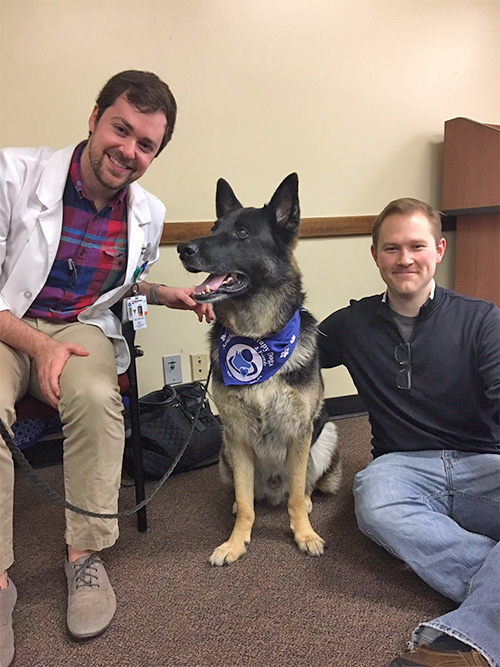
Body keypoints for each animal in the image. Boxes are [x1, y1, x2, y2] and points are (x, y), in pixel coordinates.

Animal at [178, 175, 342, 568]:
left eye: (241, 234)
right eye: (214, 228)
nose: (182, 249)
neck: (258, 338)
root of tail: (272, 488)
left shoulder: (300, 431)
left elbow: (296, 495)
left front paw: (304, 534)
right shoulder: (236, 434)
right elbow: (246, 504)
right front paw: (236, 542)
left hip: (325, 435)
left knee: (303, 486)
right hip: (226, 450)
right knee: (248, 496)